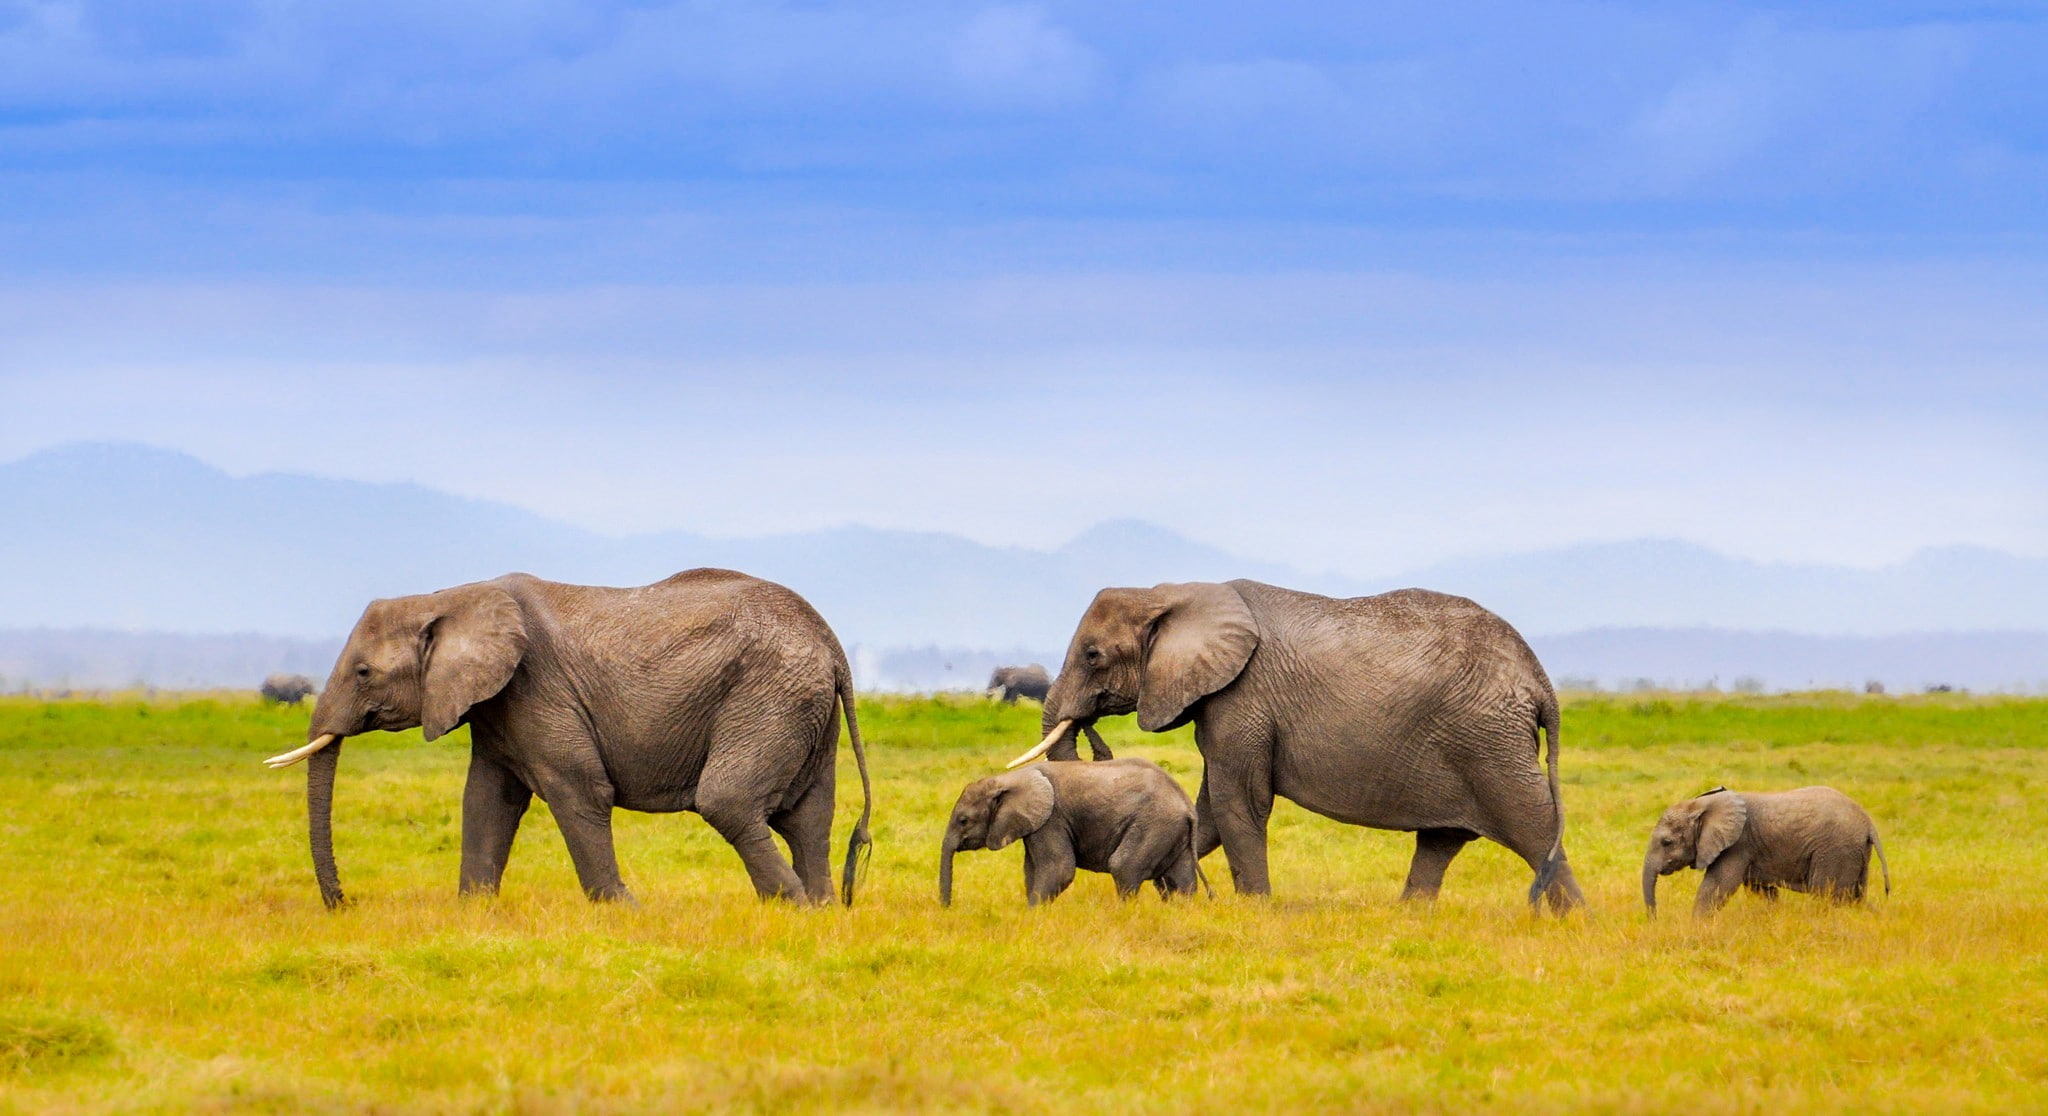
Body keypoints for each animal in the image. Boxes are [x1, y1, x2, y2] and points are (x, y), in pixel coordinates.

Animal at [262, 568, 873, 909]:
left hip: (768, 695)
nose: (344, 904)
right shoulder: (499, 707)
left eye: (364, 673)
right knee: (807, 816)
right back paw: (819, 910)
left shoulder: (538, 689)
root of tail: (832, 644)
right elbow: (486, 801)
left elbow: (578, 791)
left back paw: (792, 907)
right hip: (803, 708)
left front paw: (624, 912)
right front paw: (473, 913)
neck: (449, 597)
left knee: (729, 802)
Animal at [939, 758, 1207, 906]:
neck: (1008, 778)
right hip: (1171, 829)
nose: (947, 908)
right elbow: (1031, 871)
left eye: (963, 820)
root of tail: (1187, 806)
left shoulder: (1051, 819)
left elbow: (1059, 869)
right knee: (1180, 880)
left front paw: (1032, 915)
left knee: (1124, 867)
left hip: (1153, 824)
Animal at [1009, 580, 1583, 913]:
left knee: (1533, 827)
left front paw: (1253, 911)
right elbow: (1208, 811)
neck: (1171, 592)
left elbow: (1236, 803)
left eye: (1093, 655)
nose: (1093, 737)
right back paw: (1409, 918)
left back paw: (1576, 922)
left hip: (1490, 743)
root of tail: (1540, 681)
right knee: (1441, 841)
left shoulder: (1242, 698)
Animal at [1643, 786, 1890, 917]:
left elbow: (1716, 886)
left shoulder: (1737, 845)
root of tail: (1869, 823)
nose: (1655, 920)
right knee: (1854, 897)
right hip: (1853, 853)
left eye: (1666, 842)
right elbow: (1762, 892)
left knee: (1828, 895)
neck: (1704, 804)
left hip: (1836, 850)